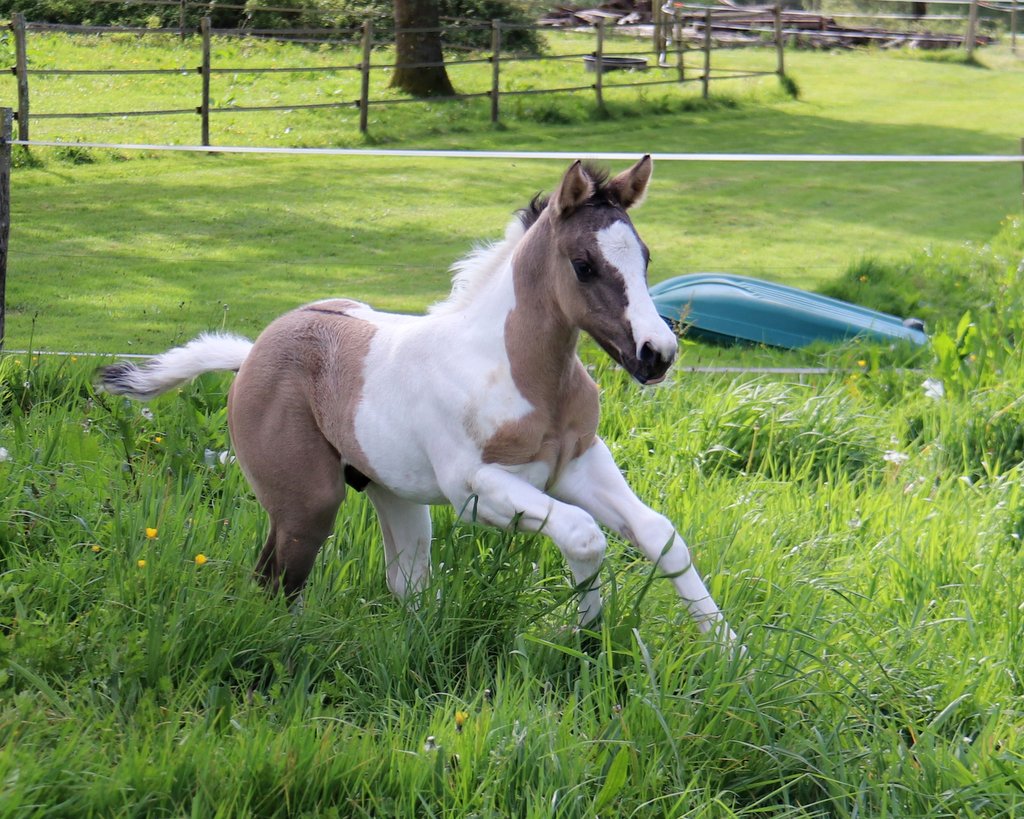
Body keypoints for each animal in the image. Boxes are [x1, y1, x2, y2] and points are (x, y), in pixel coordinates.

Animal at [97, 157, 737, 646]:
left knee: (406, 582)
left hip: (395, 495)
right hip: (307, 503)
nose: (658, 354)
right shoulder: (477, 490)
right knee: (276, 579)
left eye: (645, 257)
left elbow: (660, 535)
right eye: (583, 265)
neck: (518, 373)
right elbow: (584, 535)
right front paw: (585, 636)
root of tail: (253, 351)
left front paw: (732, 654)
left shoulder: (578, 465)